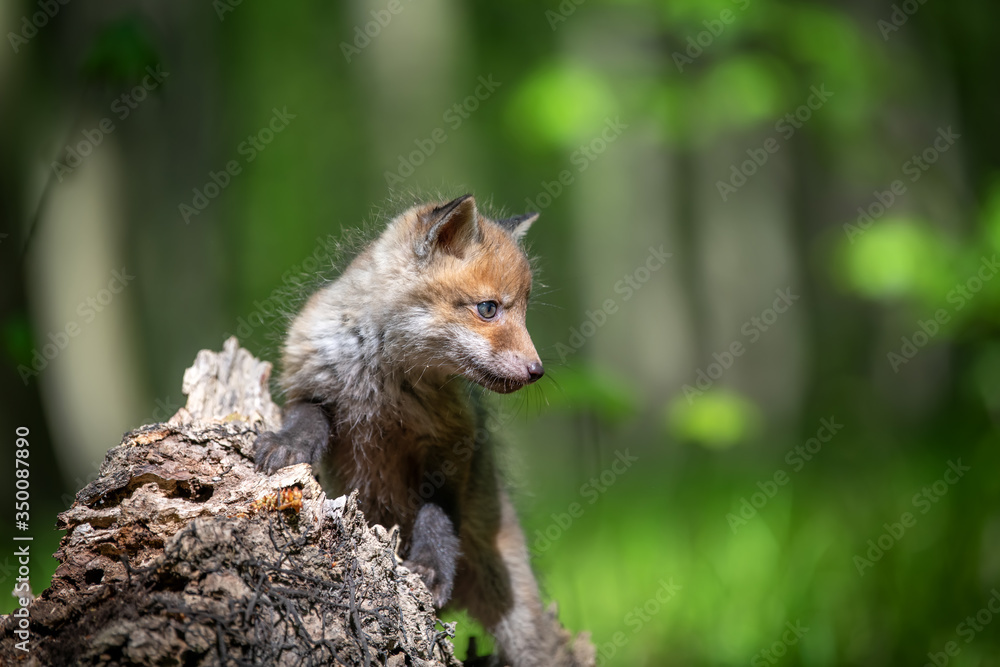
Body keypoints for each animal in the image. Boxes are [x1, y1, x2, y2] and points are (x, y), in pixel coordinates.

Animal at [254, 194, 593, 667]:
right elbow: (307, 420)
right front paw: (287, 445)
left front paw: (431, 566)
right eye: (488, 309)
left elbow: (437, 515)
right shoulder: (309, 384)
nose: (537, 371)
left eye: (525, 312)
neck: (381, 378)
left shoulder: (451, 443)